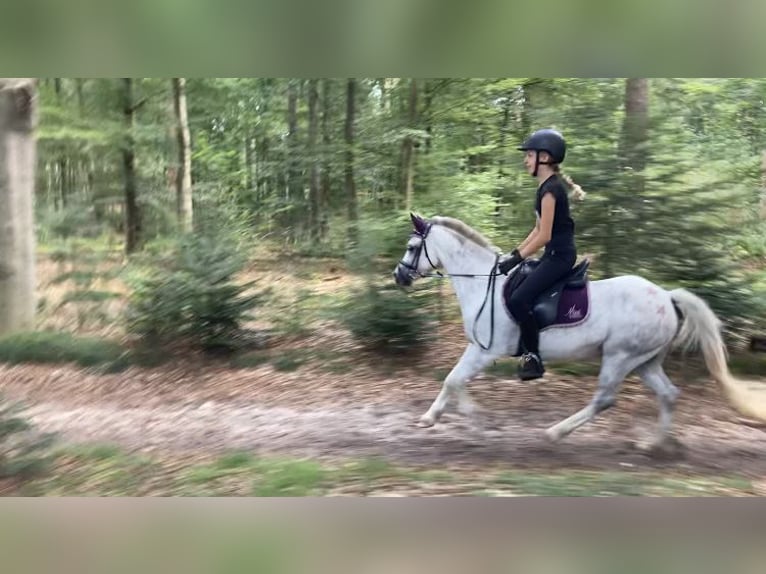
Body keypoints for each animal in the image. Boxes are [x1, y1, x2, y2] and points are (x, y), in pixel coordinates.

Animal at [396, 214, 766, 452]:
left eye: (412, 246)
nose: (399, 276)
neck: (482, 281)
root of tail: (666, 296)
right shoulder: (475, 347)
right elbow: (450, 380)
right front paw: (430, 418)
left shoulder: (486, 351)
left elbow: (455, 380)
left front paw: (476, 421)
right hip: (645, 362)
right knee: (669, 394)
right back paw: (654, 445)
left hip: (620, 356)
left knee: (605, 399)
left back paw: (555, 433)